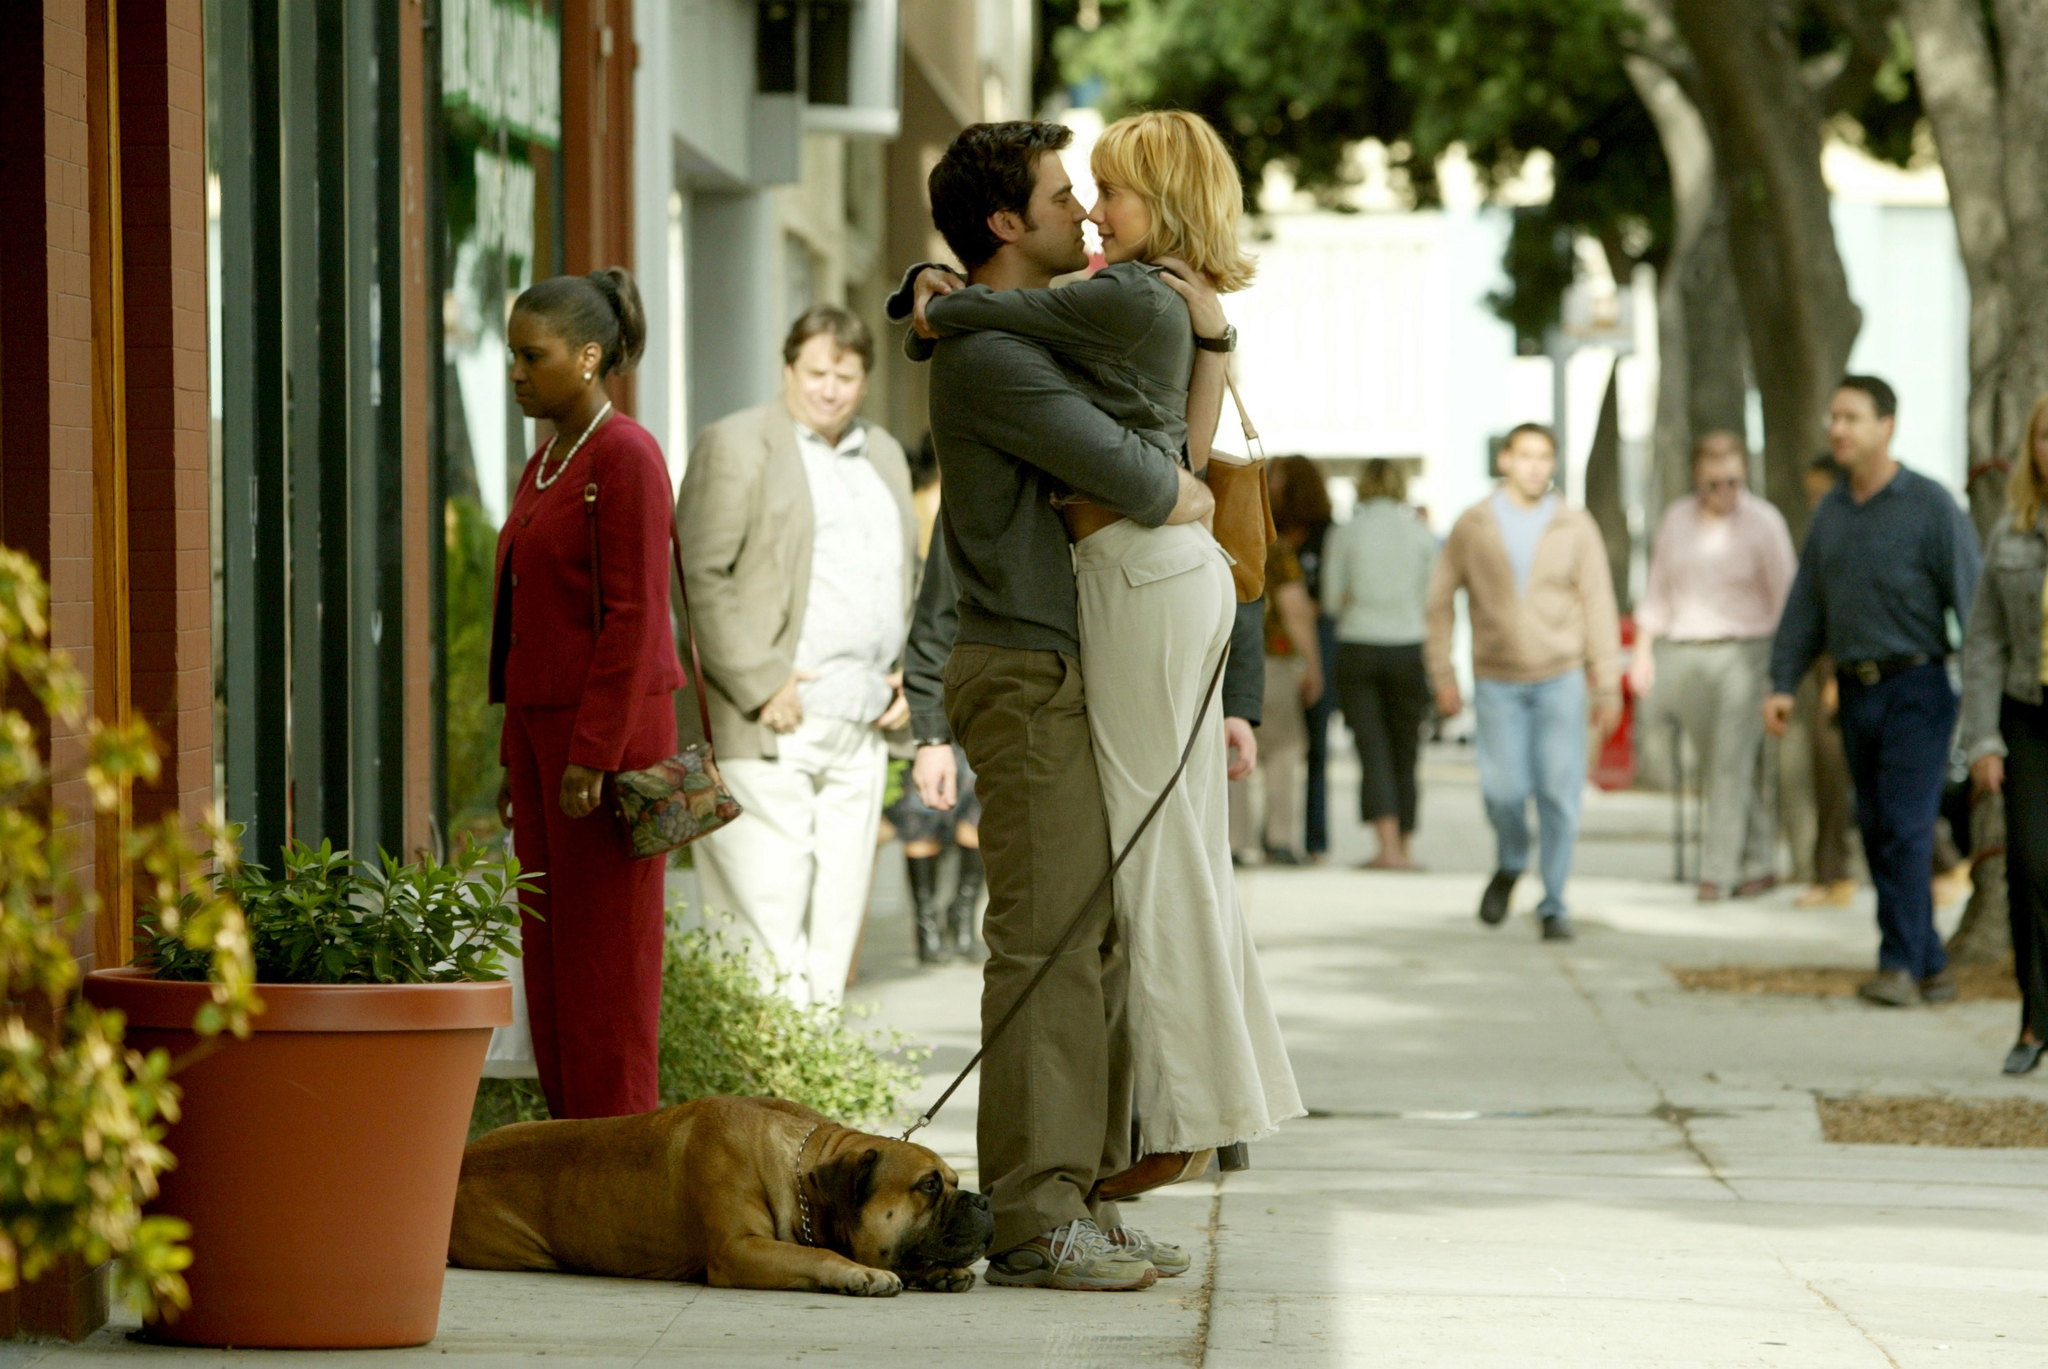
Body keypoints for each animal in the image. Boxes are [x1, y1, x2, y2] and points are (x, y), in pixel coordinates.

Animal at [446, 1090, 991, 1295]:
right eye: (928, 1186)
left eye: (955, 1182)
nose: (982, 1200)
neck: (799, 1172)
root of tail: (464, 1156)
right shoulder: (739, 1250)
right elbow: (816, 1255)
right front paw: (861, 1273)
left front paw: (939, 1274)